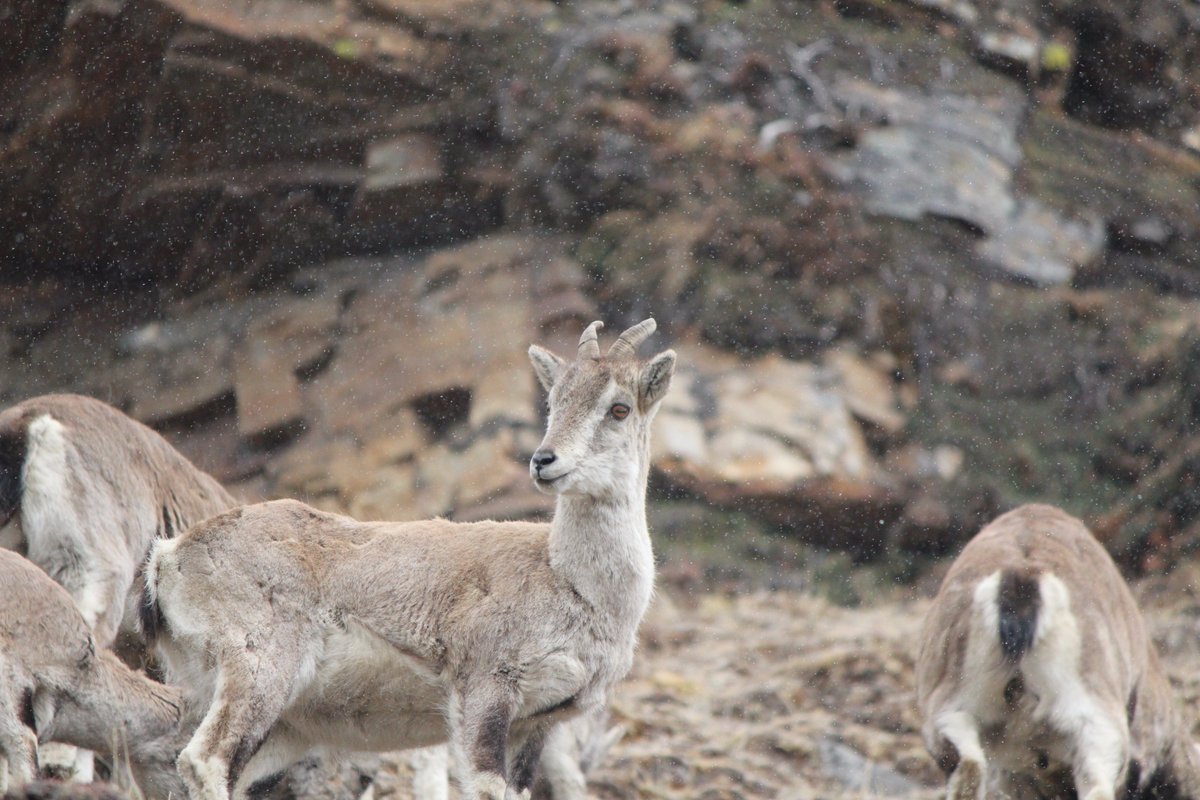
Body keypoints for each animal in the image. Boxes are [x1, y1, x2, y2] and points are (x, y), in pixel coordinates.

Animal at [142, 318, 675, 800]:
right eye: (554, 402)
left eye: (620, 408)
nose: (544, 461)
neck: (569, 580)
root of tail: (170, 556)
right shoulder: (485, 690)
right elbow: (486, 787)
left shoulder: (538, 722)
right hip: (259, 667)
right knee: (204, 760)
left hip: (287, 725)